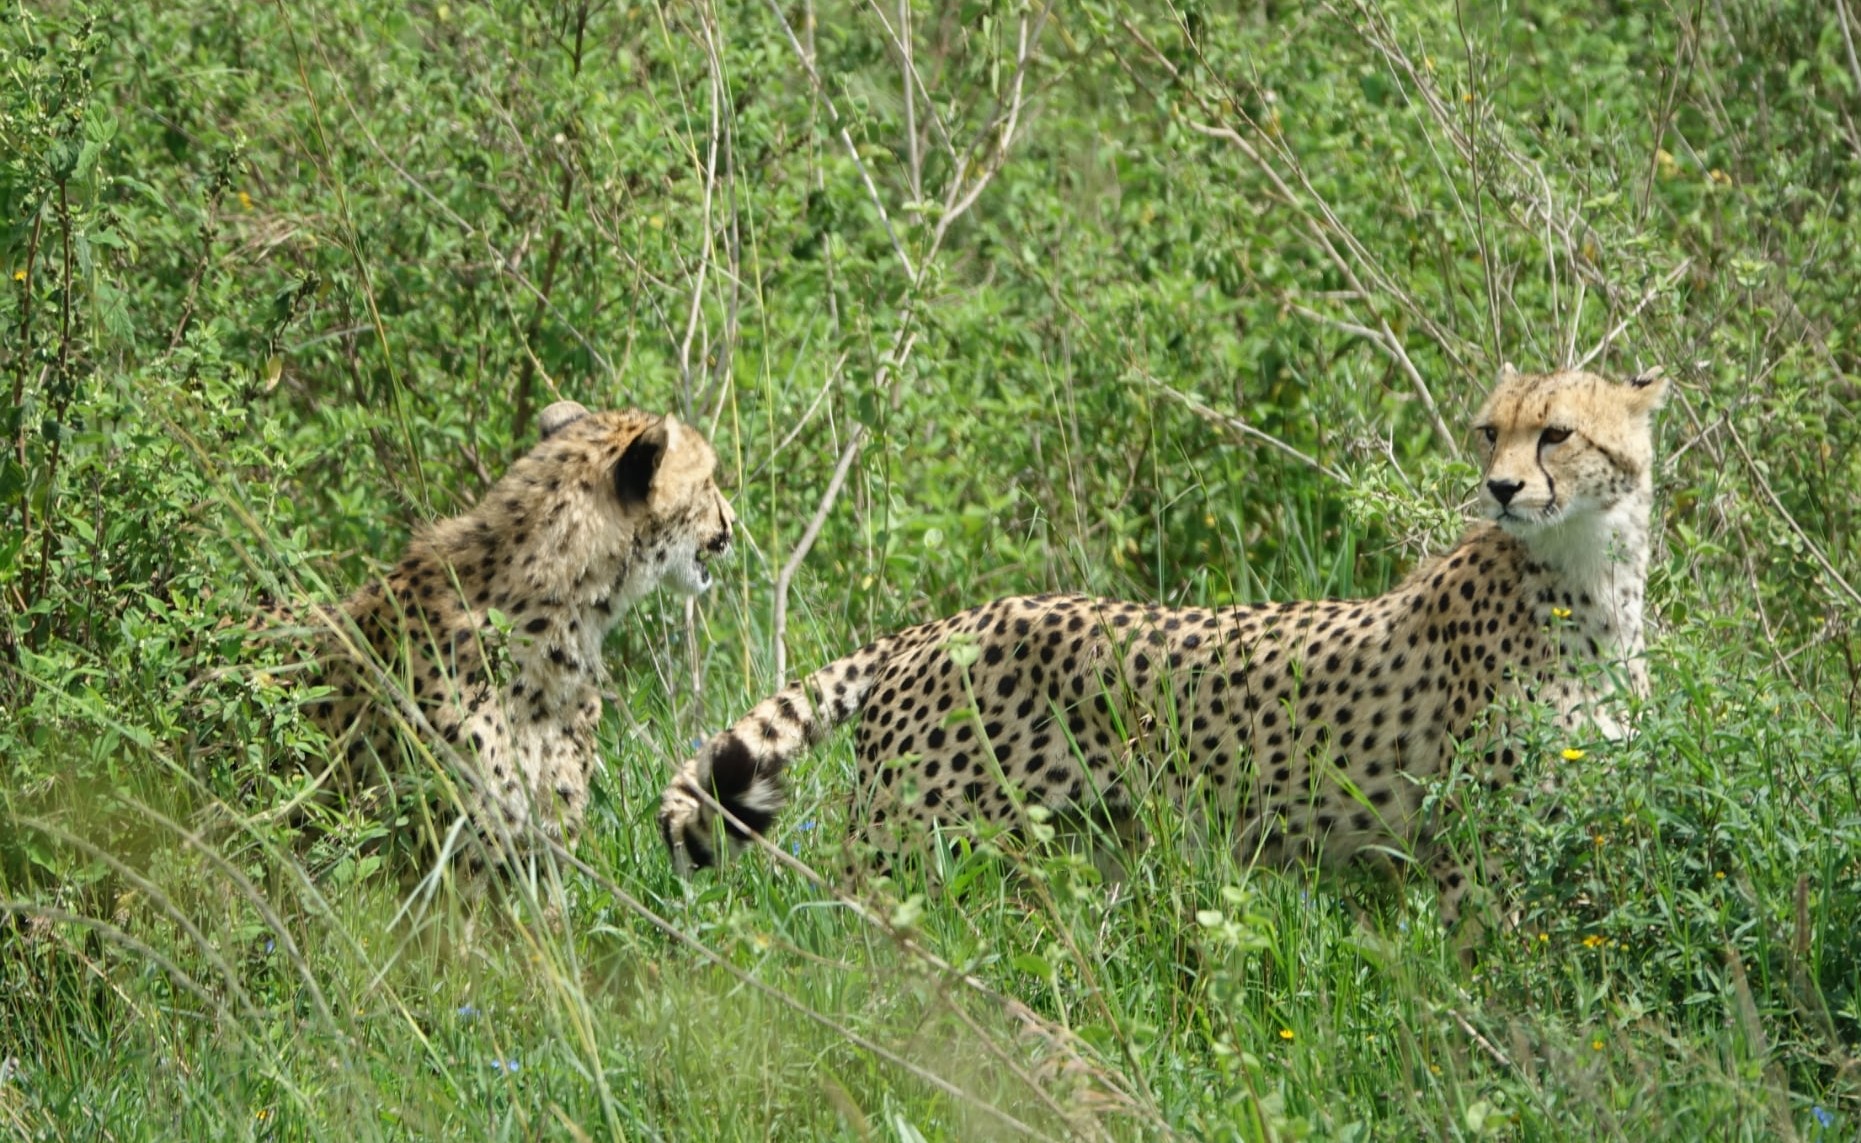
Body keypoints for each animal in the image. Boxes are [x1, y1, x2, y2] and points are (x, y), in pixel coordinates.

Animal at [657, 366, 1666, 932]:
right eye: (1490, 431)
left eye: (1556, 432)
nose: (1499, 487)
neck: (1588, 575)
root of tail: (942, 621)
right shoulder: (1471, 848)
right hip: (907, 849)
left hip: (1073, 842)